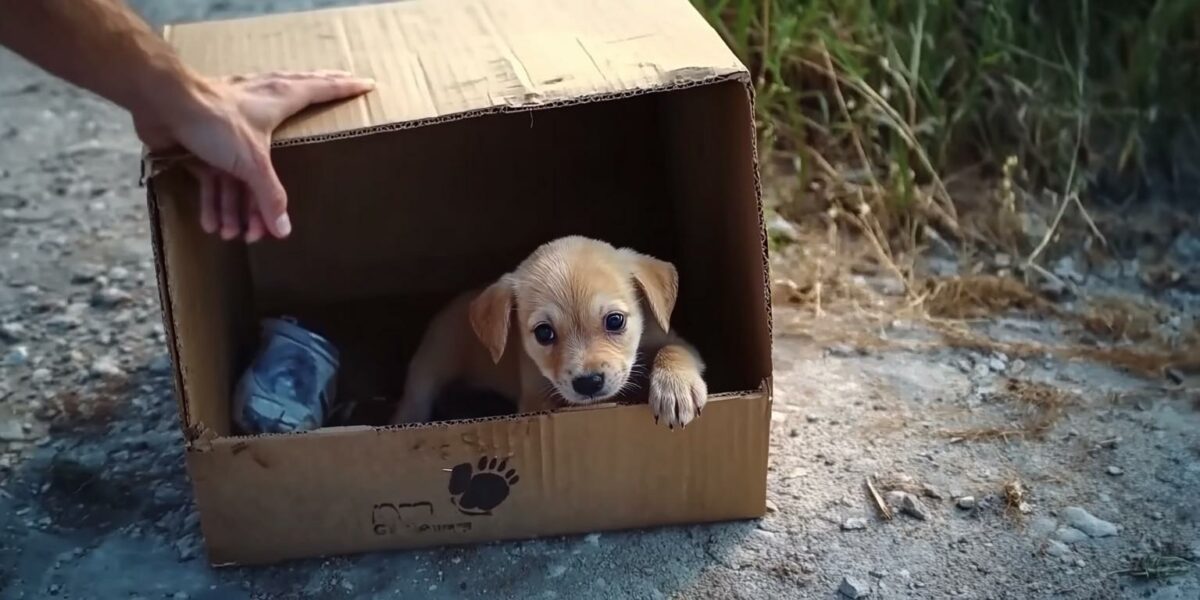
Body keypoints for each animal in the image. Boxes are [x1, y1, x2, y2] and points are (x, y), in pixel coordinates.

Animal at [393, 234, 705, 427]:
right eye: (544, 333)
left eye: (615, 321)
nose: (589, 383)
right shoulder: (534, 398)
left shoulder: (674, 339)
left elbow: (672, 349)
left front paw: (675, 389)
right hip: (428, 371)